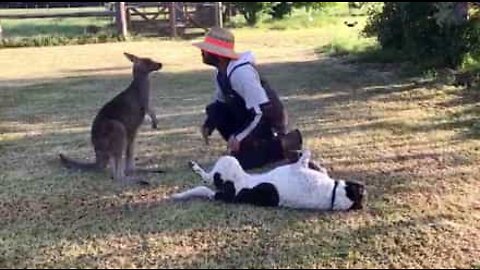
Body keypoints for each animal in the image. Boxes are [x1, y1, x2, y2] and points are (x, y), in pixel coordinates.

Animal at [59, 52, 163, 184]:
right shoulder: (143, 100)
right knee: (119, 166)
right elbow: (149, 108)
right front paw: (154, 122)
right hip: (117, 128)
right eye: (148, 61)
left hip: (126, 134)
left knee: (124, 154)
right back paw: (132, 179)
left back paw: (135, 172)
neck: (140, 82)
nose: (160, 64)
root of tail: (98, 152)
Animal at [171, 150, 366, 211]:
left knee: (207, 179)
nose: (364, 186)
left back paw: (195, 167)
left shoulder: (297, 168)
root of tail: (228, 196)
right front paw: (316, 163)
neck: (332, 195)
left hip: (228, 162)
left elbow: (305, 154)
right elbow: (312, 160)